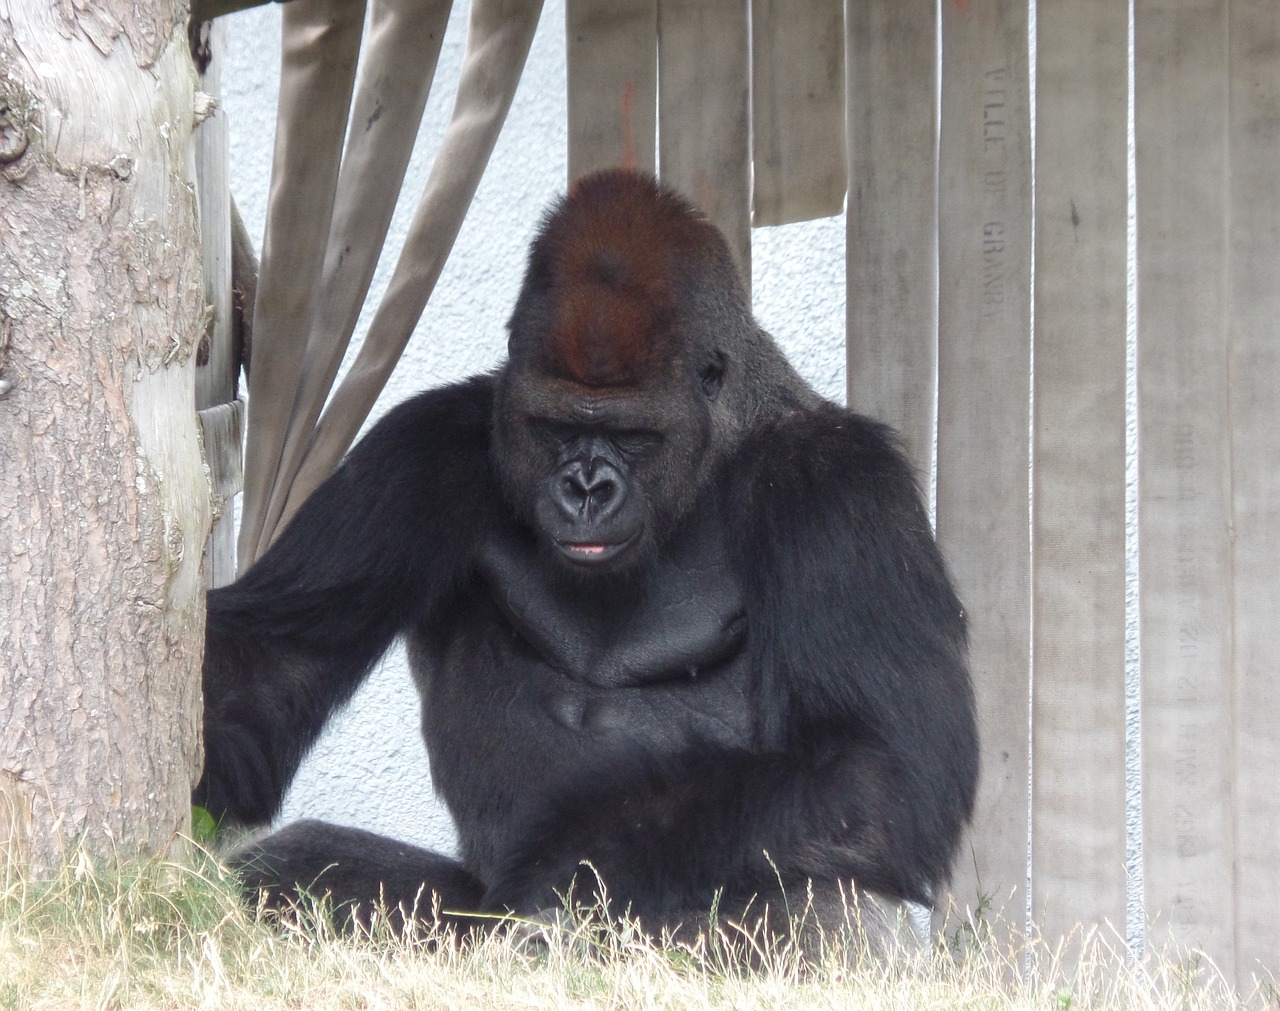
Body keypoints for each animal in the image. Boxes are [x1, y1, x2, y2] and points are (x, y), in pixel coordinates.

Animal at [194, 167, 977, 941]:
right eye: (555, 426)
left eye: (632, 435)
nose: (587, 489)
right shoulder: (421, 449)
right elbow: (271, 668)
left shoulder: (838, 485)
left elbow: (875, 767)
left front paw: (560, 871)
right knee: (288, 868)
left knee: (822, 888)